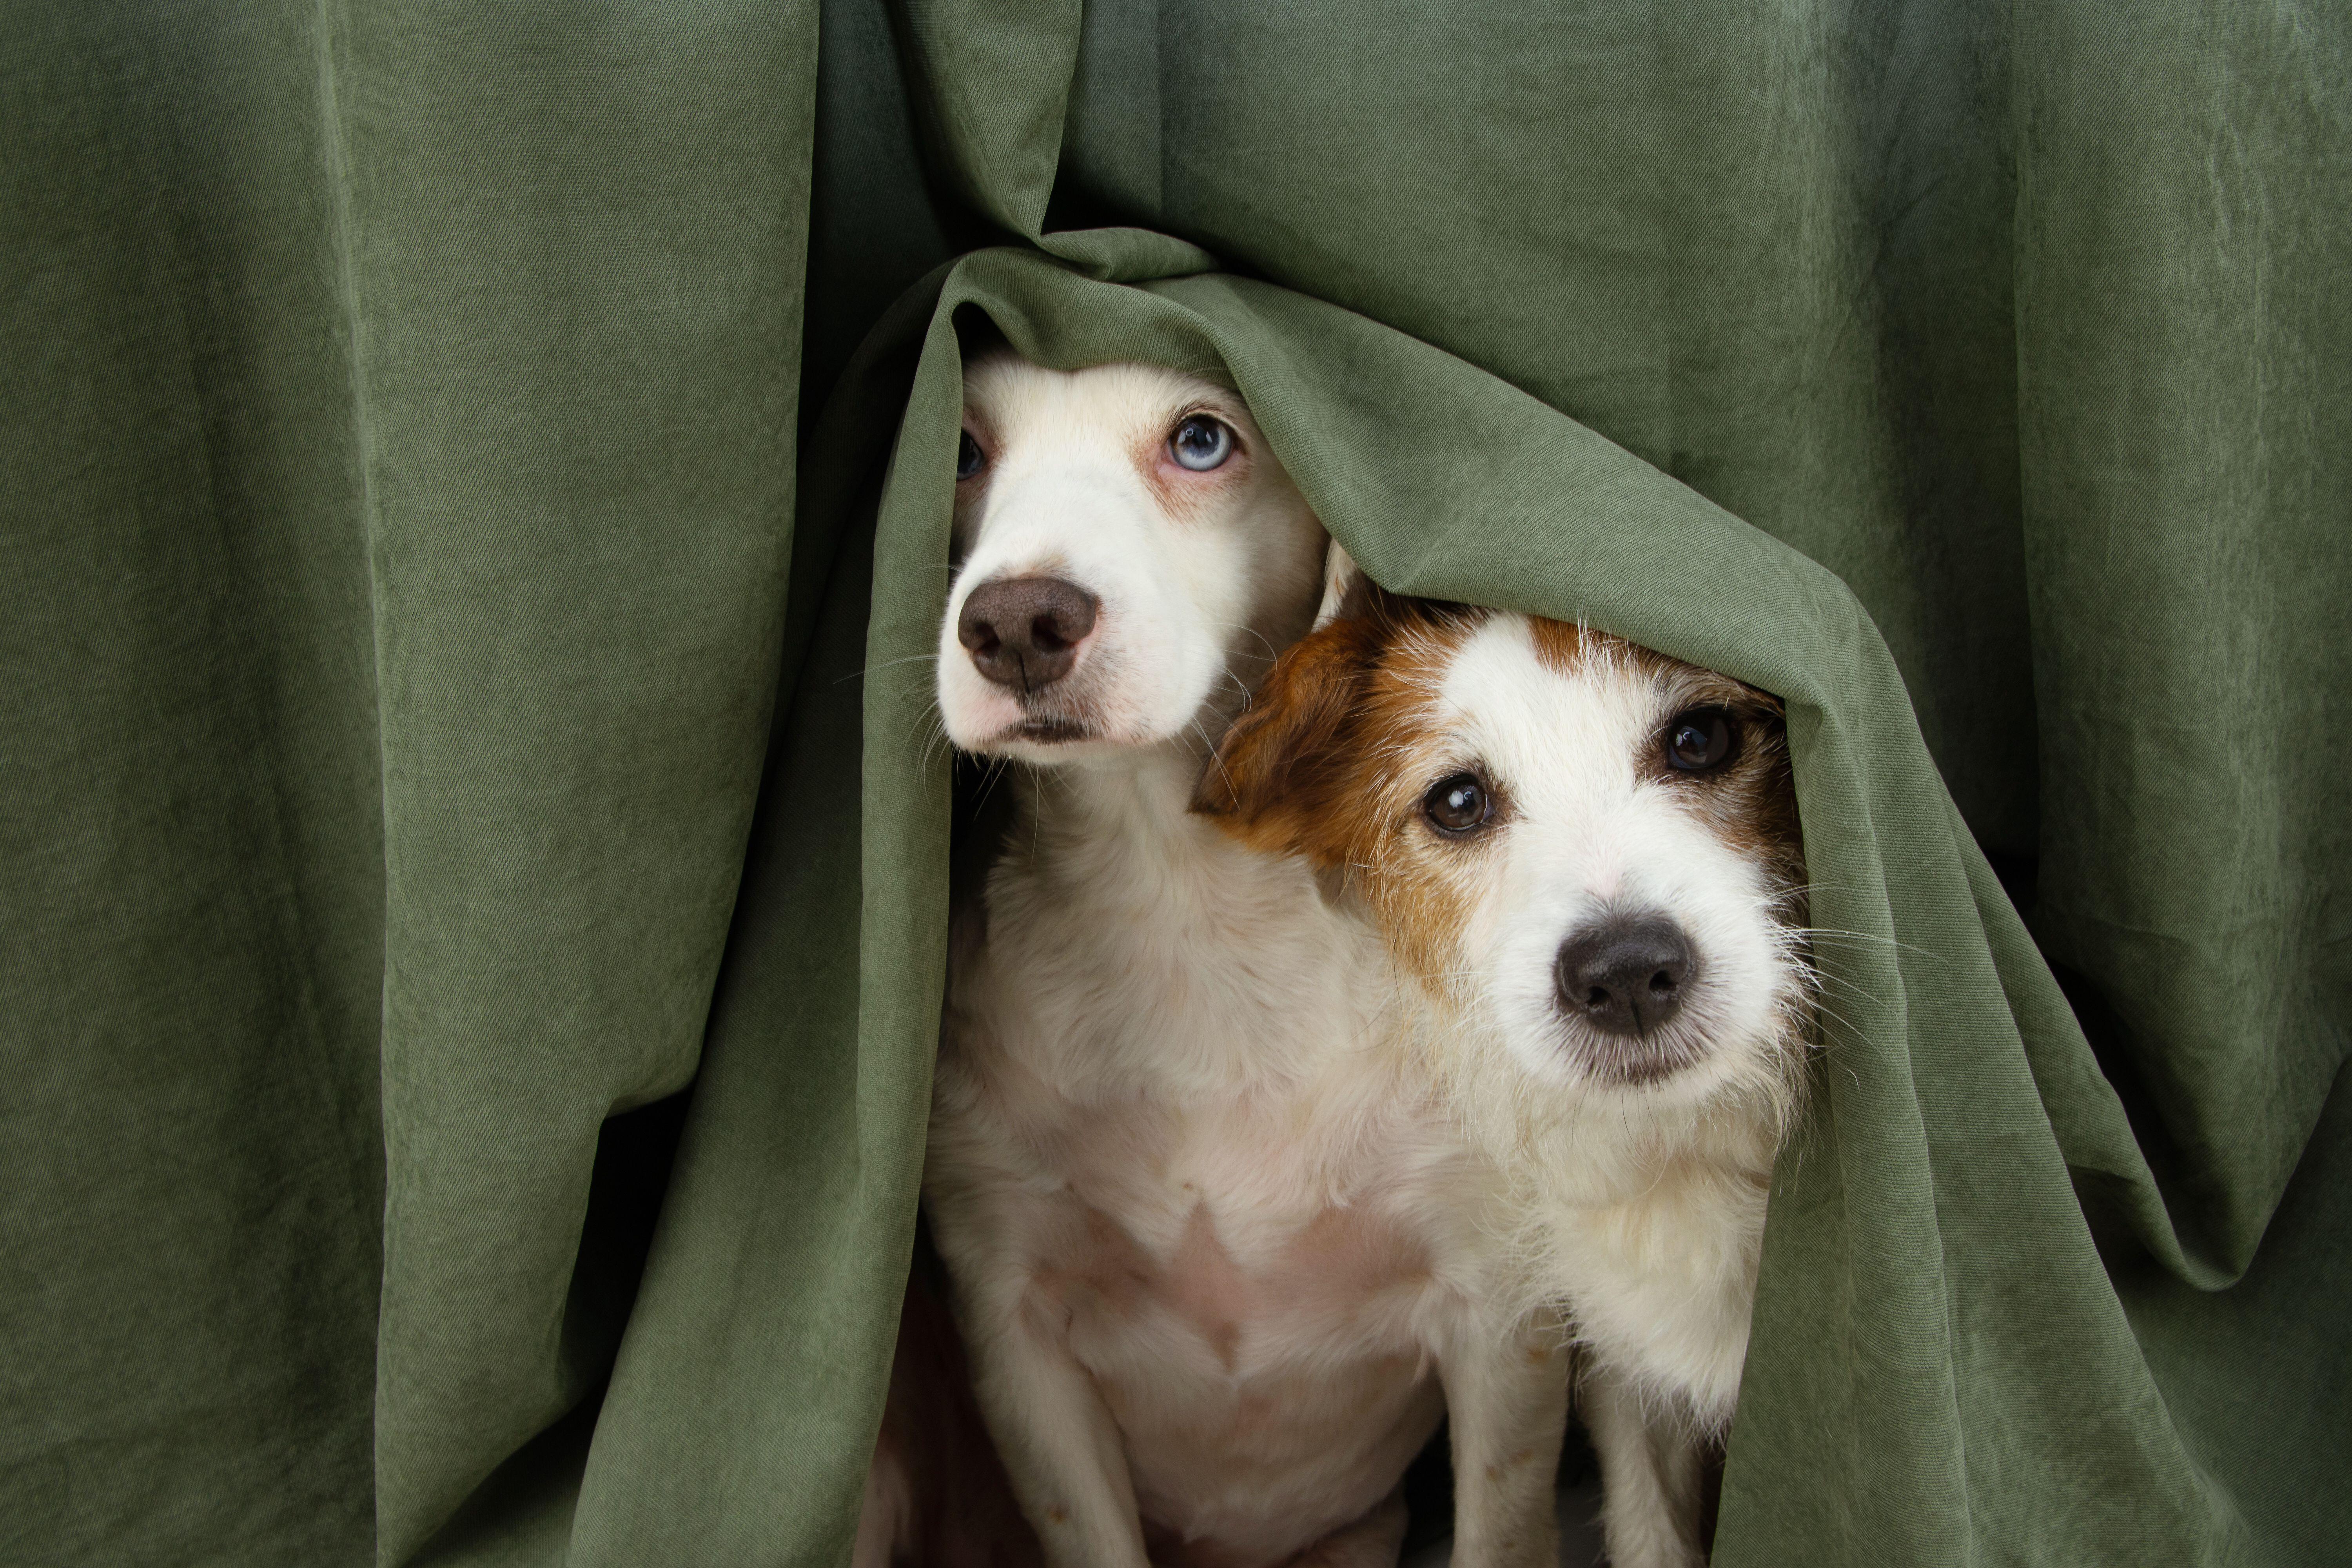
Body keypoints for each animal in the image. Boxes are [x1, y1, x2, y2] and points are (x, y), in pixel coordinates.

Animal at [903, 362, 1581, 1568]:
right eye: (964, 447)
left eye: (1202, 439)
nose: (1018, 621)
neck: (1184, 909)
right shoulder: (1016, 1330)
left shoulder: (1500, 1309)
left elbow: (1501, 1525)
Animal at [1204, 573, 1806, 1568]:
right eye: (1457, 801)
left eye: (1701, 738)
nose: (1624, 972)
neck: (1695, 1152)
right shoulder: (1632, 1379)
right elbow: (1651, 1527)